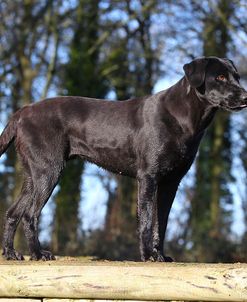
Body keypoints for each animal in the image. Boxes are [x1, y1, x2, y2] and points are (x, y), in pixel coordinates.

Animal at [0, 56, 247, 260]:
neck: (185, 118)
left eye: (237, 76)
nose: (246, 96)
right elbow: (146, 220)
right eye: (220, 77)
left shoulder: (171, 182)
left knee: (13, 213)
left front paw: (161, 256)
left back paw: (11, 254)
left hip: (33, 176)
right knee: (30, 214)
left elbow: (162, 222)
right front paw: (148, 256)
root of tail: (22, 111)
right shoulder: (148, 177)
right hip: (49, 172)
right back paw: (38, 254)